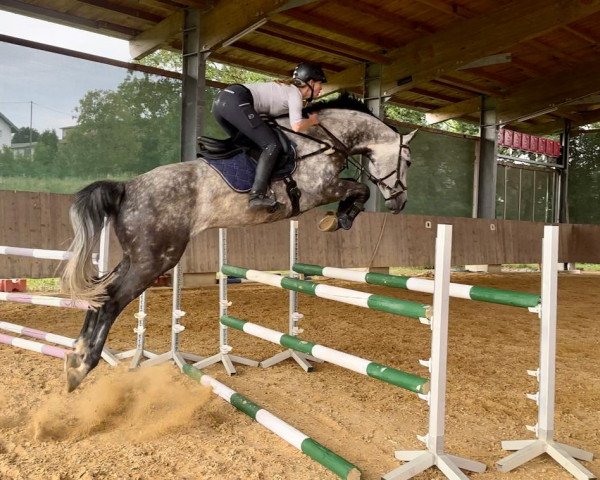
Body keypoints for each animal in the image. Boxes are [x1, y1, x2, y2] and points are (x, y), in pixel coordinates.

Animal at [62, 94, 418, 390]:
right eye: (409, 162)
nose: (400, 203)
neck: (324, 138)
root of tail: (126, 187)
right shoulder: (319, 189)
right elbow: (361, 189)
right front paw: (341, 217)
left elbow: (358, 190)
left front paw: (338, 217)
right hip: (156, 259)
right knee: (111, 301)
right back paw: (83, 366)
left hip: (136, 256)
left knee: (101, 293)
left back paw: (76, 354)